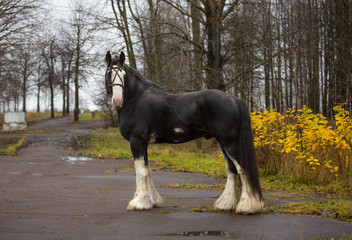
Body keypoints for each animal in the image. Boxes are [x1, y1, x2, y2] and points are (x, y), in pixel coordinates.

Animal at [103, 51, 262, 213]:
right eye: (109, 73)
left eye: (123, 74)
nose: (117, 100)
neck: (137, 100)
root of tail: (234, 99)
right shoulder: (143, 144)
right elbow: (147, 170)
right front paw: (152, 200)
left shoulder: (137, 141)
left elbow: (140, 171)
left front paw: (139, 203)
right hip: (223, 142)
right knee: (231, 169)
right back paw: (225, 204)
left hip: (229, 143)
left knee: (242, 169)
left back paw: (247, 206)